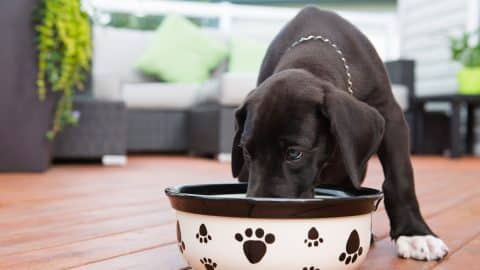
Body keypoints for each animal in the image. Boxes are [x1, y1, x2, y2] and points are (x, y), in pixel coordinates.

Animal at [231, 6, 448, 260]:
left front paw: (414, 233)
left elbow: (400, 177)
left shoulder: (390, 115)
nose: (260, 216)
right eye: (247, 152)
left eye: (294, 153)